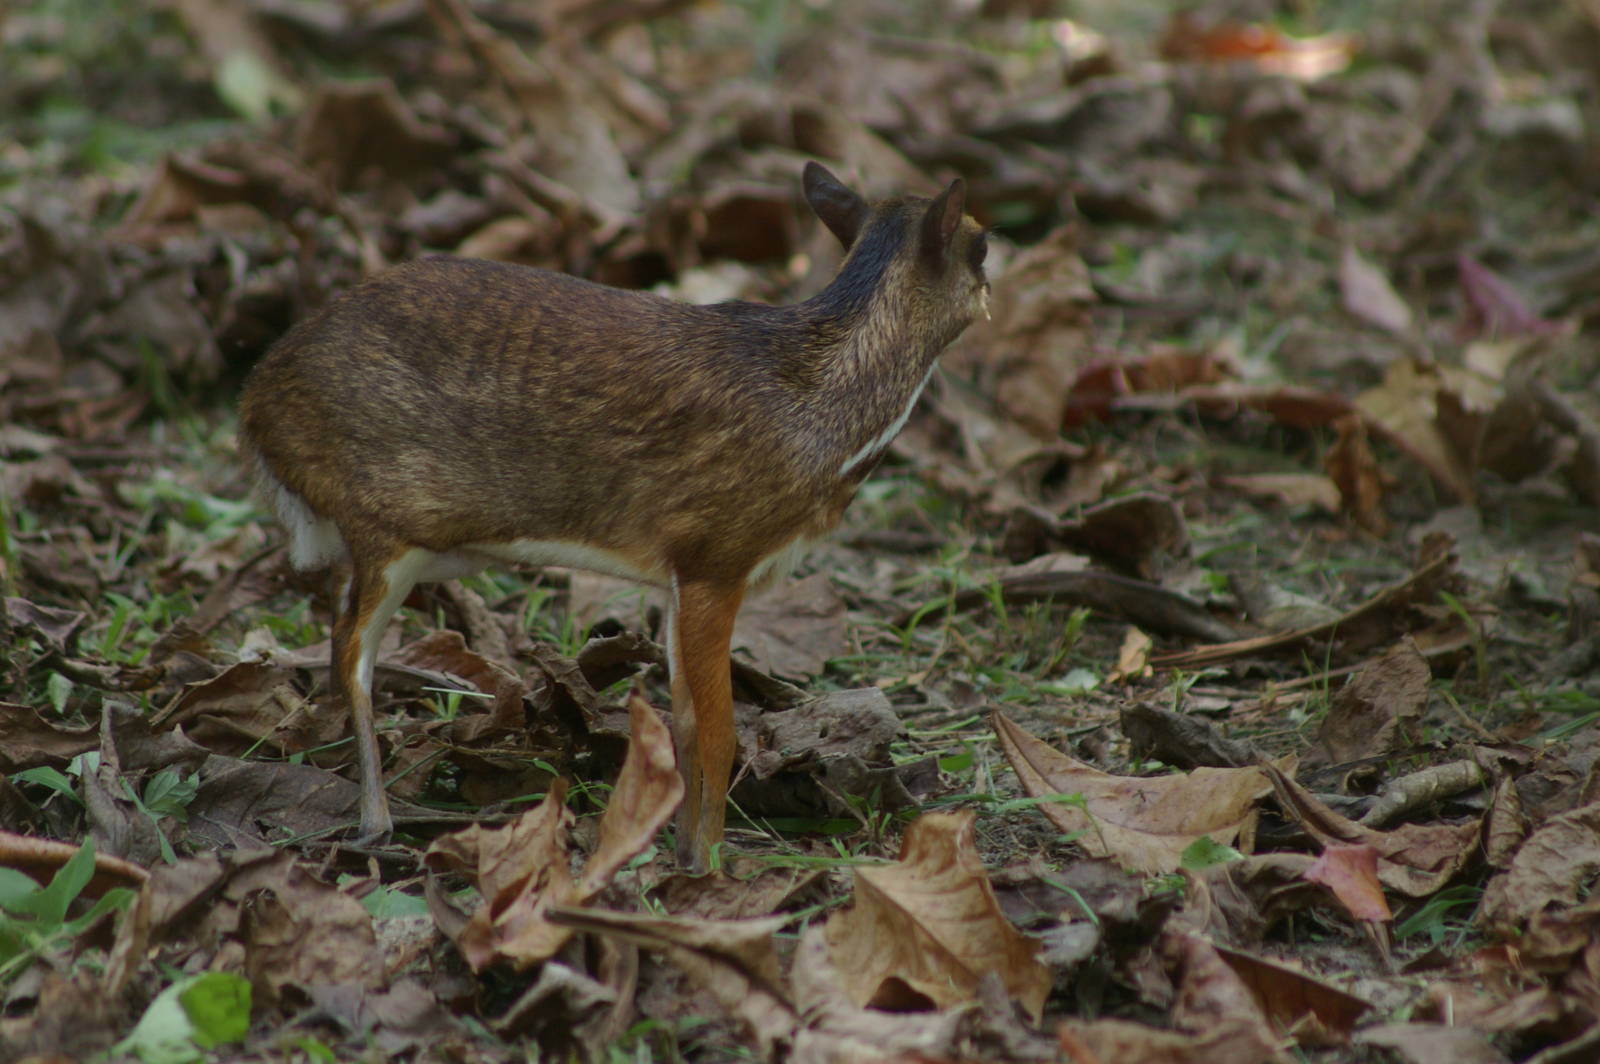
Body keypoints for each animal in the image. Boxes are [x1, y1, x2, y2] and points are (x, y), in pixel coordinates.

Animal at [239, 162, 989, 871]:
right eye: (983, 244)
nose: (994, 287)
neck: (823, 412)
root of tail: (256, 406)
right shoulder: (716, 555)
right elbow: (718, 729)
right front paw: (710, 863)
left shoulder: (680, 574)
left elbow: (684, 719)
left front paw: (685, 851)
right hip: (381, 522)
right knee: (351, 651)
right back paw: (375, 822)